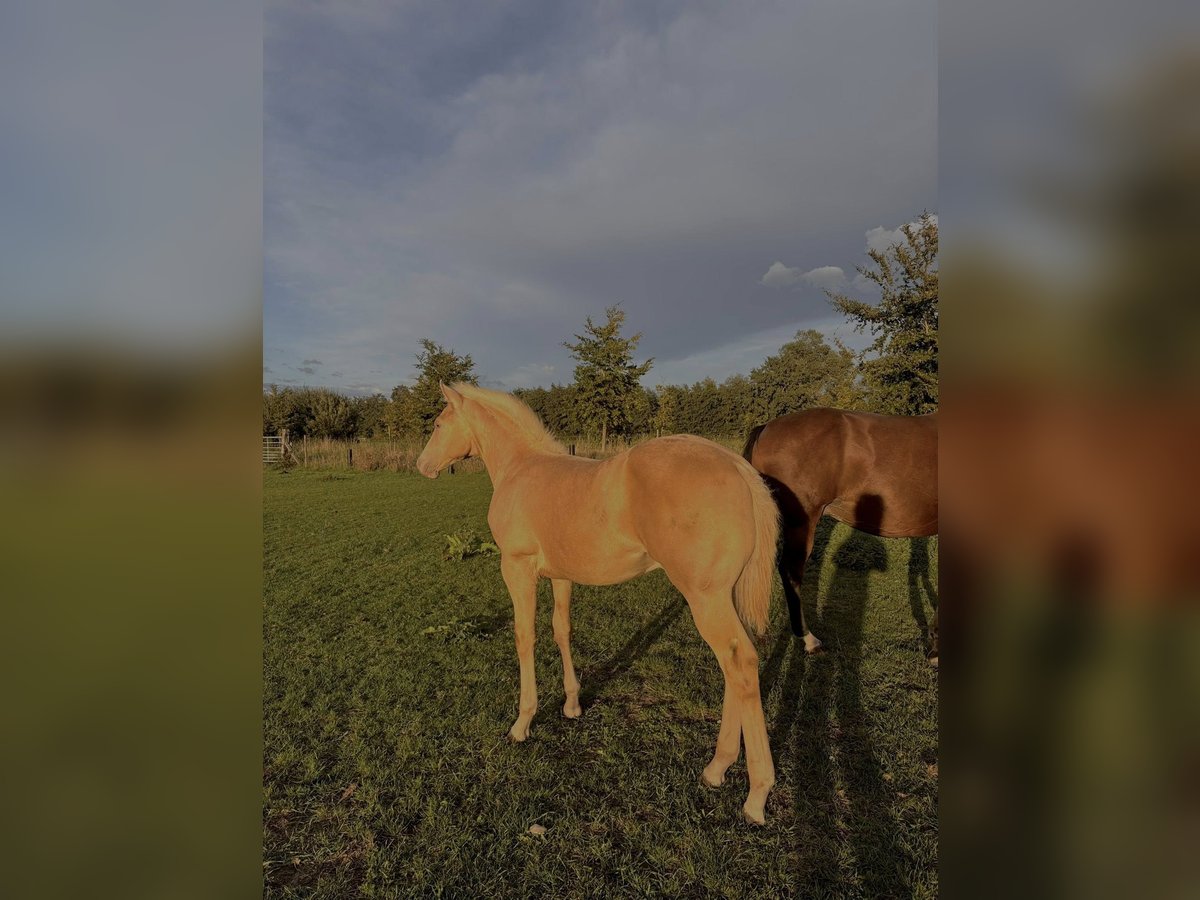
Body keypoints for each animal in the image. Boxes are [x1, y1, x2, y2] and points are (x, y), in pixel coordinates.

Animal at [416, 382, 782, 824]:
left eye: (439, 423)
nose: (422, 465)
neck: (520, 469)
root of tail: (739, 468)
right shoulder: (561, 575)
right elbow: (561, 630)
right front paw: (572, 705)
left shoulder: (517, 568)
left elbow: (525, 636)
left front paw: (522, 723)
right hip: (722, 598)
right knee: (737, 666)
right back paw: (716, 769)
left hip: (706, 599)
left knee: (739, 664)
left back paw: (755, 794)